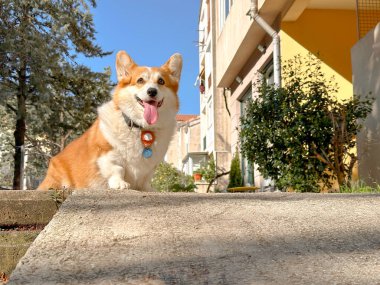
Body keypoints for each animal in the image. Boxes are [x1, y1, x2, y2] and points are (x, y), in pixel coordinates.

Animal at [38, 50, 181, 191]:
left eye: (161, 81)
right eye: (140, 80)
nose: (152, 91)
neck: (141, 127)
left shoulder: (150, 167)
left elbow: (146, 178)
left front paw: (148, 189)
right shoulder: (107, 152)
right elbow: (117, 169)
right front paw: (120, 183)